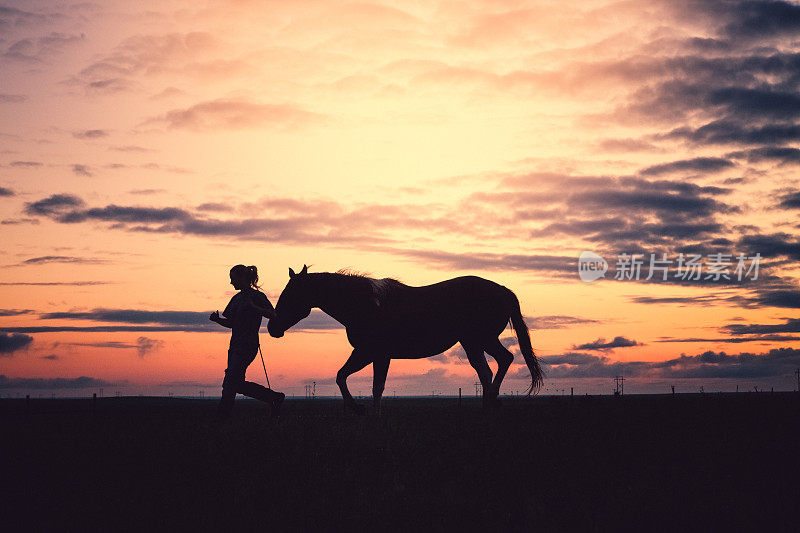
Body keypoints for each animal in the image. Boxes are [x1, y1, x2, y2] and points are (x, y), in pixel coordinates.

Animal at [268, 264, 544, 412]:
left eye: (291, 295)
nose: (272, 327)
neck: (366, 304)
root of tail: (504, 290)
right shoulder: (366, 353)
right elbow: (343, 376)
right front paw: (359, 410)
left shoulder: (375, 354)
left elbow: (374, 386)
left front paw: (366, 413)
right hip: (475, 342)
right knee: (494, 366)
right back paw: (489, 405)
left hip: (478, 340)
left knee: (497, 365)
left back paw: (490, 403)